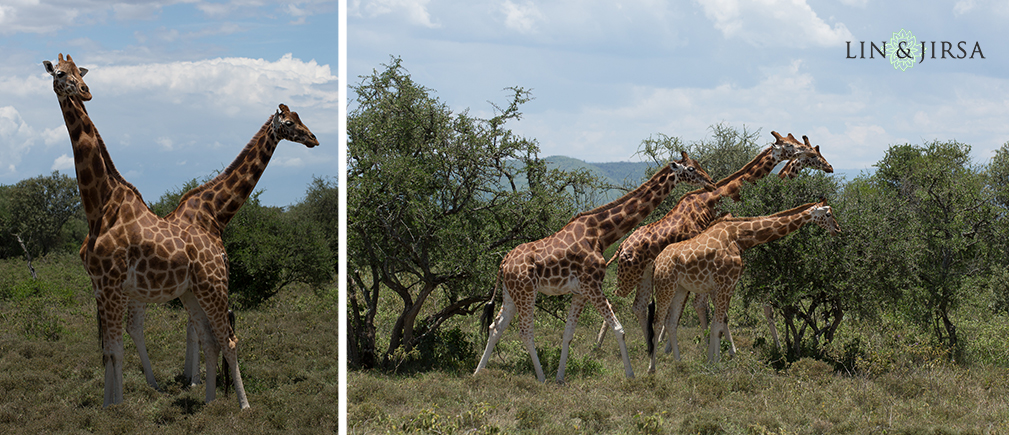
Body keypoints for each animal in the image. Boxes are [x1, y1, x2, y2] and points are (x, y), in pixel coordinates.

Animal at [45, 53, 252, 407]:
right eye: (59, 73)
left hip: (213, 286)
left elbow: (115, 350)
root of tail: (218, 247)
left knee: (228, 338)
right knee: (210, 337)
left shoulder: (111, 285)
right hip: (192, 292)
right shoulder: (99, 286)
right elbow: (108, 351)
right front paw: (109, 404)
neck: (101, 206)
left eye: (80, 73)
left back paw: (244, 405)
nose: (85, 91)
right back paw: (210, 400)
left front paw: (116, 407)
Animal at [120, 103, 318, 389]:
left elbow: (193, 327)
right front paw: (194, 380)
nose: (314, 138)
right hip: (137, 292)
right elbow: (195, 329)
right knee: (134, 326)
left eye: (300, 117)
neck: (213, 212)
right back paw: (152, 383)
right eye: (290, 123)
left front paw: (192, 377)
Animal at [474, 152, 718, 381]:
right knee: (525, 332)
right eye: (690, 168)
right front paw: (630, 375)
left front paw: (560, 378)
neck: (600, 233)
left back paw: (478, 372)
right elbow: (619, 329)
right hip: (526, 292)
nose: (710, 182)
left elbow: (568, 334)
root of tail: (504, 261)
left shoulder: (580, 292)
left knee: (495, 327)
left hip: (510, 293)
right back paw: (541, 378)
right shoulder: (592, 285)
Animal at [589, 131, 827, 349]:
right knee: (616, 301)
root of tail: (621, 247)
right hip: (631, 273)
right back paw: (599, 347)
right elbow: (698, 306)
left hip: (644, 274)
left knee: (637, 305)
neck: (710, 201)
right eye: (791, 146)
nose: (829, 167)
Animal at [645, 198, 843, 369]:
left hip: (680, 288)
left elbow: (720, 322)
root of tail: (656, 262)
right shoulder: (726, 282)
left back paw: (678, 362)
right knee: (659, 321)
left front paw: (714, 358)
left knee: (672, 321)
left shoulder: (726, 284)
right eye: (828, 214)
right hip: (666, 286)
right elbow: (718, 324)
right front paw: (715, 363)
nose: (838, 230)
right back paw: (652, 368)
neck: (739, 236)